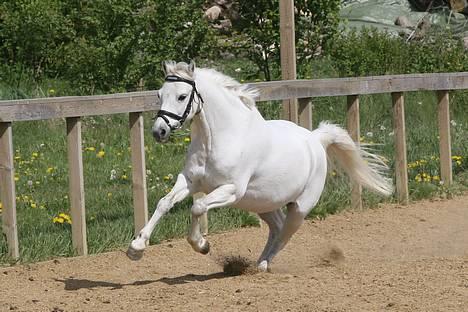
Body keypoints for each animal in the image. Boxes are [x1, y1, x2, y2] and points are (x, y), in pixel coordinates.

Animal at [127, 61, 392, 270]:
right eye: (159, 94)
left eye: (182, 96)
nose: (159, 131)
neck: (219, 139)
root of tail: (316, 139)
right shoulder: (190, 181)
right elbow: (165, 203)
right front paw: (136, 248)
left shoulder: (232, 190)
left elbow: (198, 207)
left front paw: (201, 245)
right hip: (263, 203)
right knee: (276, 228)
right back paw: (257, 265)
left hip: (300, 208)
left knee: (285, 234)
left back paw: (262, 266)